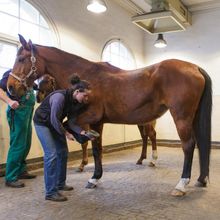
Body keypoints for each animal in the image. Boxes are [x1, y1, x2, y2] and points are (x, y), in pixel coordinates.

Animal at [8, 35, 211, 197]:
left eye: (21, 58)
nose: (10, 87)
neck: (86, 80)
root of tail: (195, 68)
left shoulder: (90, 117)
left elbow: (71, 126)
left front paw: (88, 167)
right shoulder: (97, 122)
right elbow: (96, 148)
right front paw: (95, 178)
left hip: (181, 117)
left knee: (188, 145)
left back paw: (181, 185)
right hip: (190, 118)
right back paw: (200, 178)